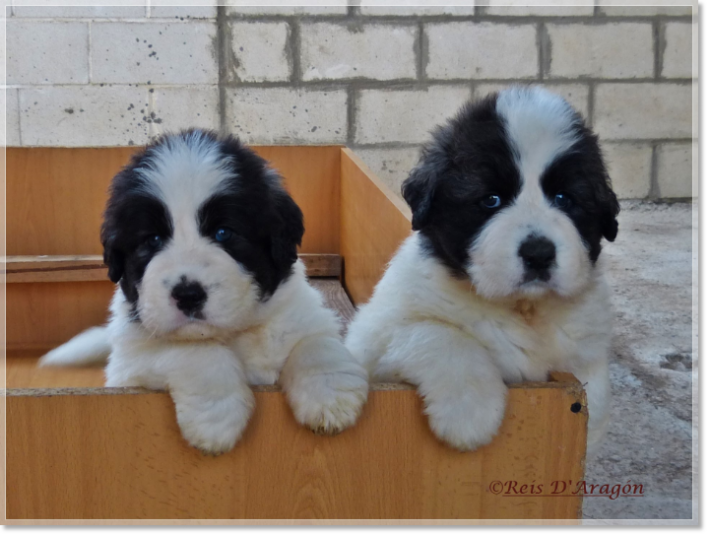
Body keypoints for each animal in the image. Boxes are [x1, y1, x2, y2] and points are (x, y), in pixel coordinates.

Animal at [40, 127, 368, 454]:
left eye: (223, 233)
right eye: (152, 239)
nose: (188, 295)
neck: (237, 335)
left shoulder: (304, 313)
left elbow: (317, 344)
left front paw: (331, 398)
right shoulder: (131, 364)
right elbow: (195, 350)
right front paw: (216, 422)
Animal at [346, 86, 616, 454]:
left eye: (564, 198)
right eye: (491, 200)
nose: (538, 254)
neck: (522, 310)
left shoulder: (583, 344)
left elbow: (595, 386)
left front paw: (593, 427)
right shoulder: (375, 336)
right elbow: (439, 334)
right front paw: (468, 416)